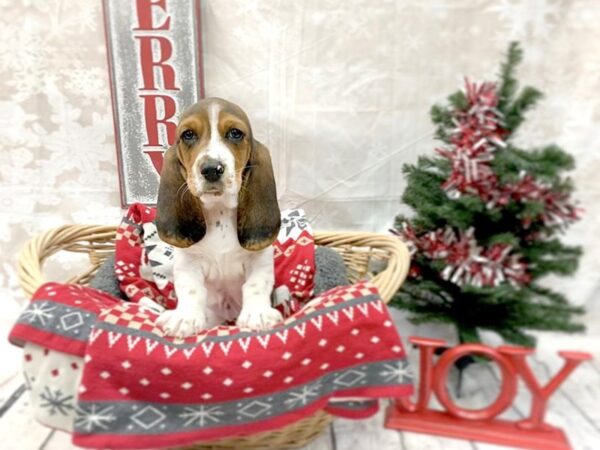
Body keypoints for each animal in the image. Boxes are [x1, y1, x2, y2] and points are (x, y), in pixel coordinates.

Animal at [157, 98, 284, 338]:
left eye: (235, 133)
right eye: (188, 135)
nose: (211, 169)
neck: (220, 210)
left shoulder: (259, 259)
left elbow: (256, 284)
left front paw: (258, 315)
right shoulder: (188, 263)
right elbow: (190, 288)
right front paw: (185, 318)